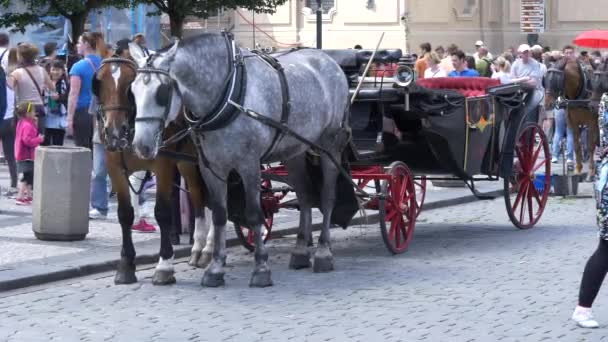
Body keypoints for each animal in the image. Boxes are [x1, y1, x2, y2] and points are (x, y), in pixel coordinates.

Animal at [91, 56, 213, 286]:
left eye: (129, 85)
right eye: (99, 82)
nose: (114, 133)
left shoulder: (163, 165)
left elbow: (162, 212)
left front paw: (164, 266)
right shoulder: (115, 168)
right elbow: (125, 214)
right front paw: (126, 265)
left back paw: (209, 248)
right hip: (187, 163)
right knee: (198, 196)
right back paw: (199, 249)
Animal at [131, 33, 354, 288]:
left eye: (161, 92)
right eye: (133, 91)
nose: (141, 145)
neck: (226, 94)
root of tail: (329, 60)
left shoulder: (249, 165)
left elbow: (255, 214)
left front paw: (261, 268)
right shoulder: (212, 167)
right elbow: (219, 214)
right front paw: (215, 268)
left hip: (329, 146)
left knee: (327, 197)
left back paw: (323, 252)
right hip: (294, 150)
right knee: (305, 196)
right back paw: (299, 250)